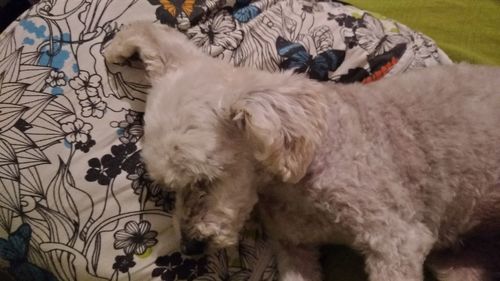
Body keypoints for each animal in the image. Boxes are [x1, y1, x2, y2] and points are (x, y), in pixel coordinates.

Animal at [102, 21, 500, 280]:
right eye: (167, 189)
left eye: (206, 179)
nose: (190, 248)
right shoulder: (294, 248)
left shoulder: (397, 241)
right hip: (456, 266)